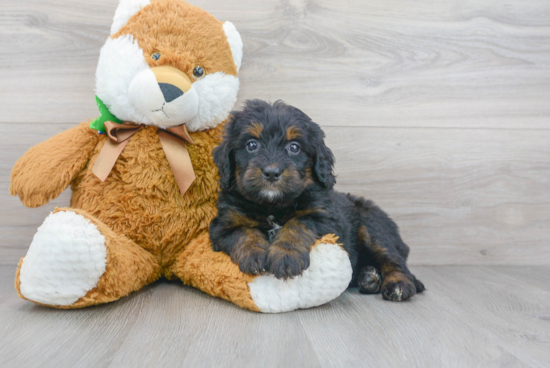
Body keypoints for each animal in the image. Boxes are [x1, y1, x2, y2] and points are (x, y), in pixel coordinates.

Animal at [211, 99, 426, 300]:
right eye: (252, 145)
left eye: (294, 147)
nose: (272, 173)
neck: (273, 206)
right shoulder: (223, 225)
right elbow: (243, 232)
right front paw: (254, 254)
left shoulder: (323, 218)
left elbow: (297, 224)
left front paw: (286, 256)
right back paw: (369, 278)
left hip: (373, 226)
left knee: (393, 259)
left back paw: (398, 284)